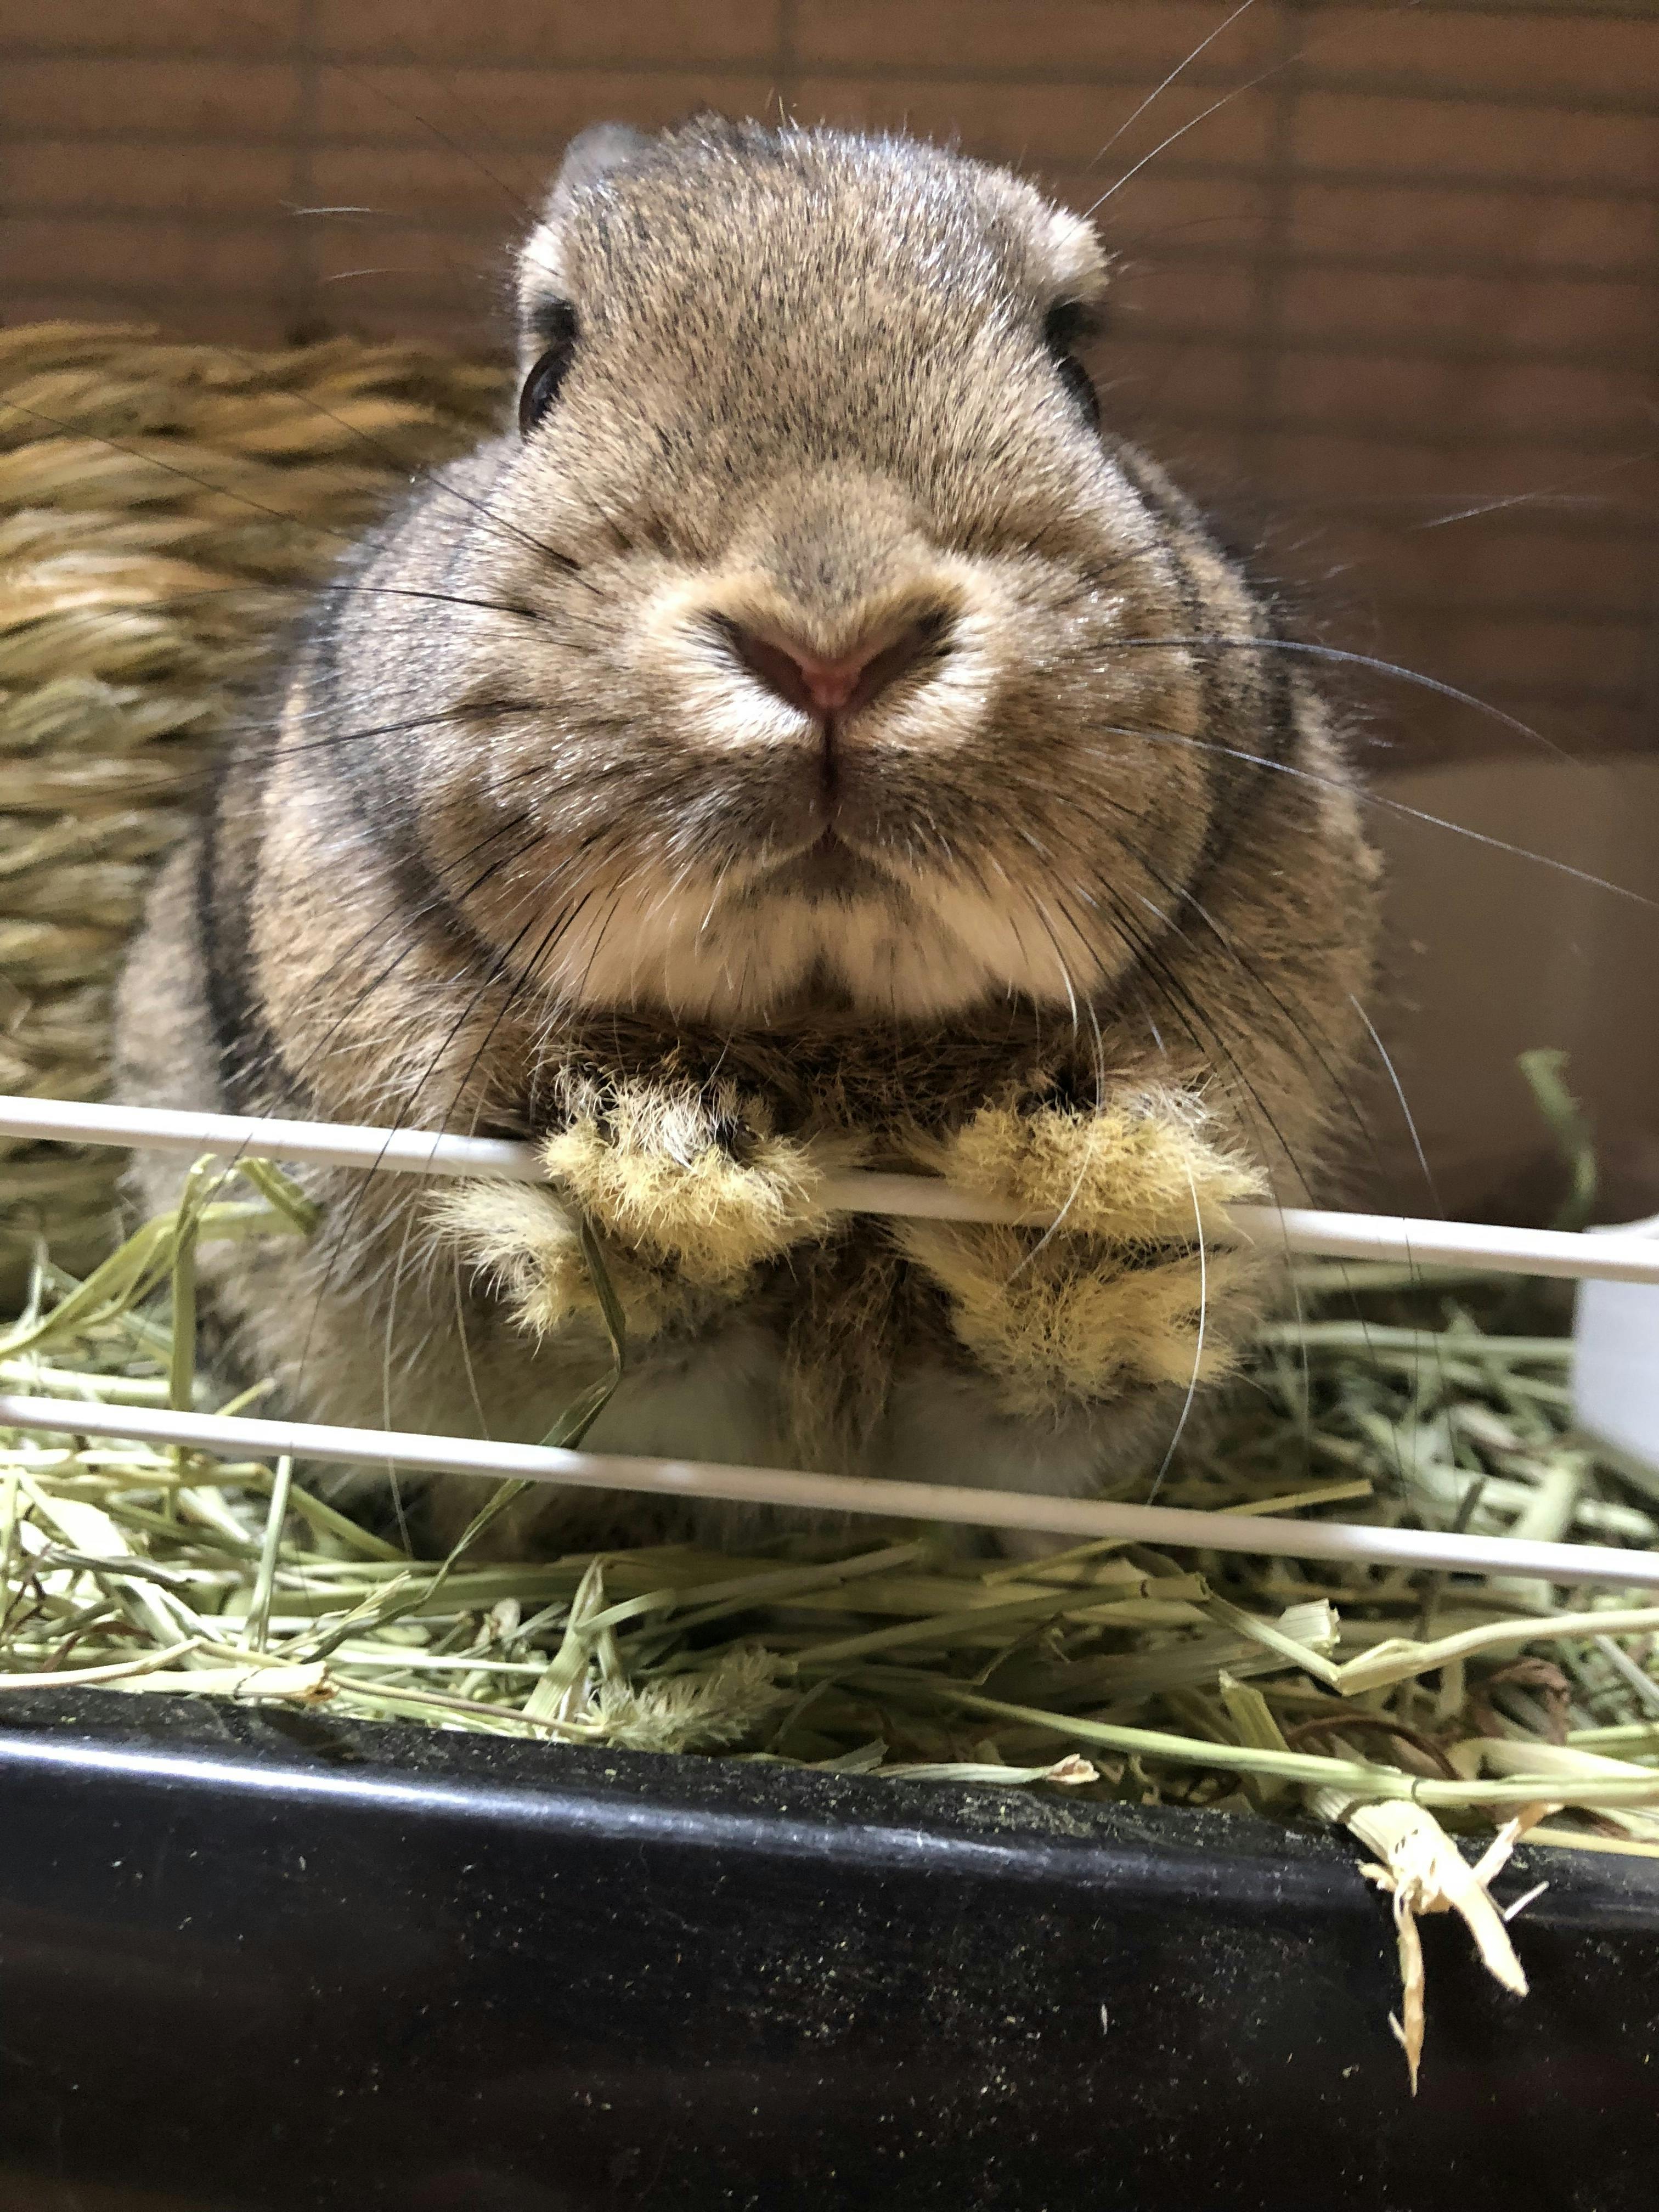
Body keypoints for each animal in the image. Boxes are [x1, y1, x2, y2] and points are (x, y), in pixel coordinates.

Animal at [115, 116, 1379, 1554]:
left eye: (1077, 365)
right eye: (543, 377)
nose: (831, 647)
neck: (827, 1029)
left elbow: (1058, 1354)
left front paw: (1088, 1181)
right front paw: (663, 1173)